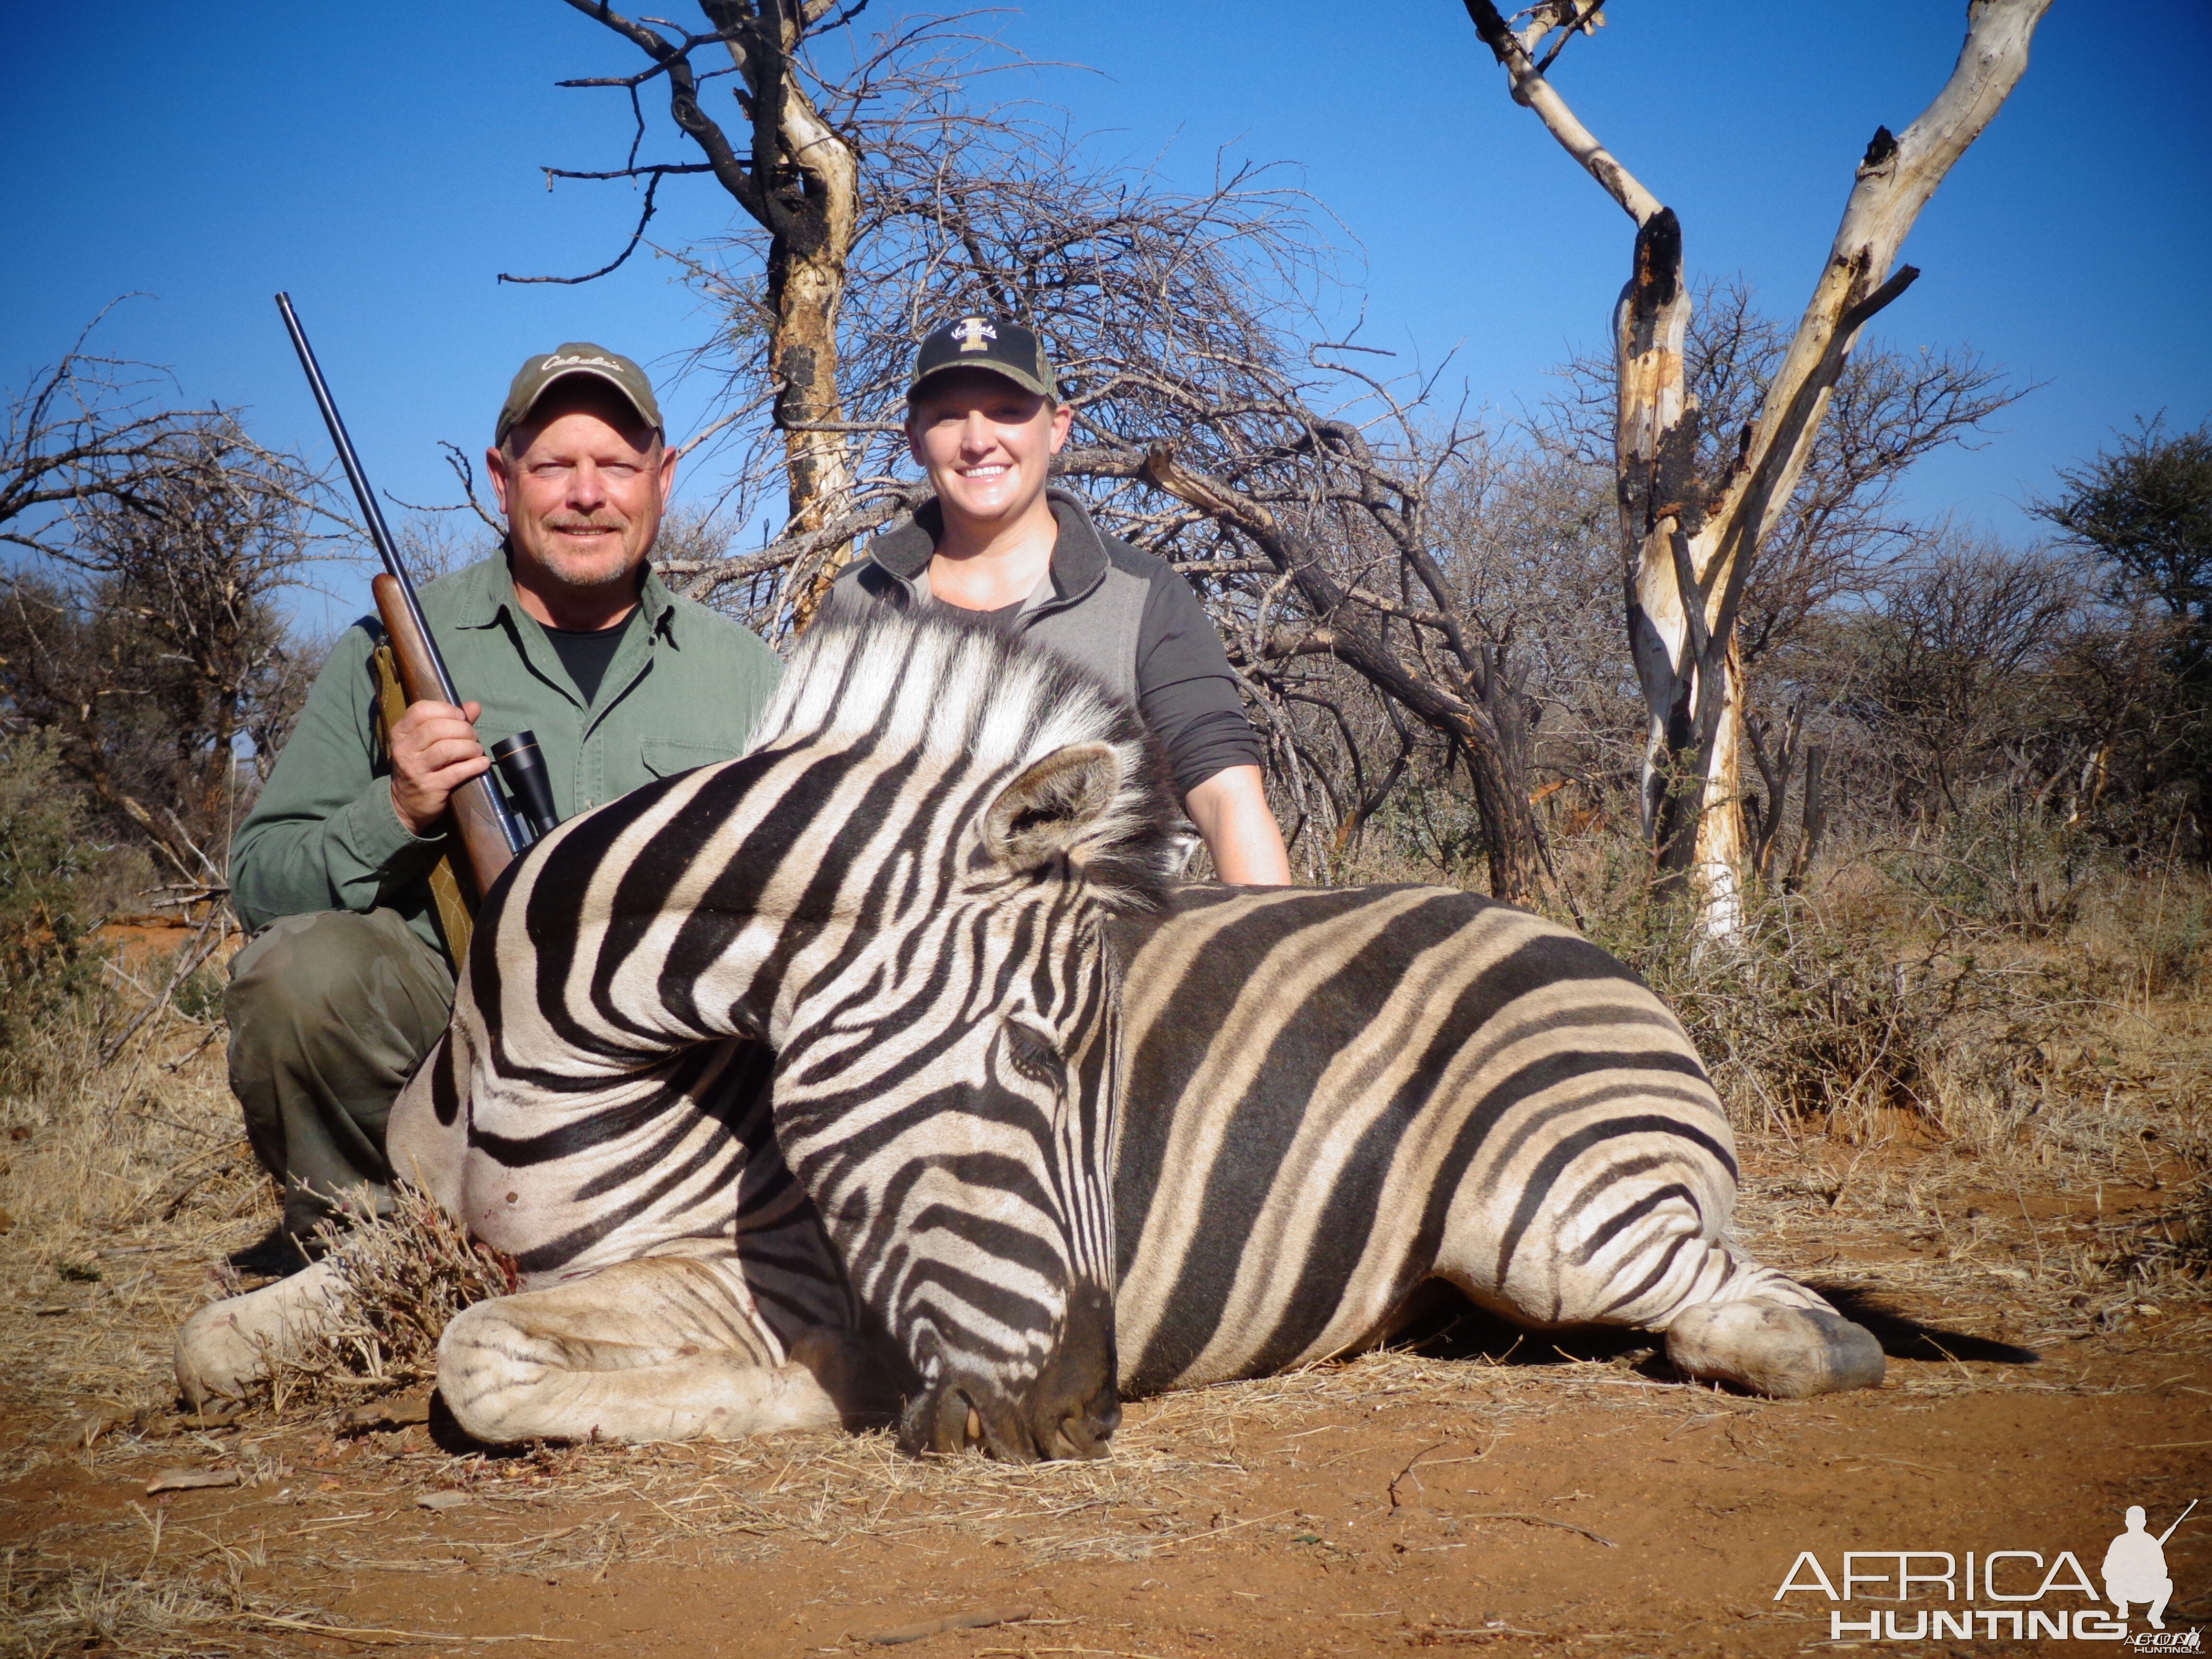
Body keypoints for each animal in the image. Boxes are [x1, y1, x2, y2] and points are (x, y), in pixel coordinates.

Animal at [177, 606, 1885, 1460]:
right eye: (1040, 1060)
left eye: (1092, 1076)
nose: (1083, 1415)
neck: (533, 1066)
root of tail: (1580, 945)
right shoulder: (406, 1237)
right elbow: (221, 1342)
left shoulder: (764, 1272)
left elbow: (477, 1362)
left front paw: (815, 1399)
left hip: (1552, 1219)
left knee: (1772, 1310)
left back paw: (1808, 1341)